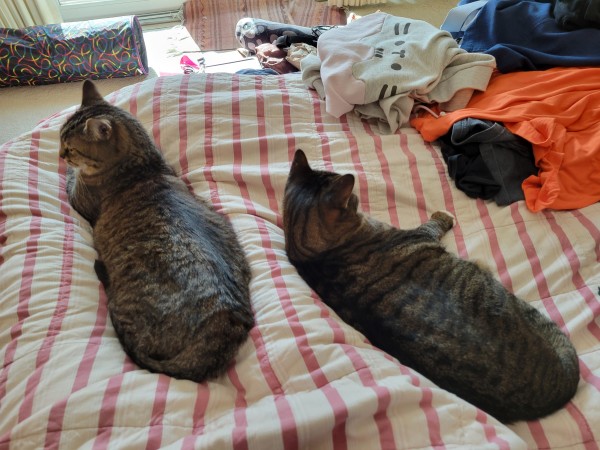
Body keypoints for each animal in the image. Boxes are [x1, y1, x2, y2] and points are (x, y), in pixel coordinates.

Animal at [61, 81, 255, 384]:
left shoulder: (79, 196)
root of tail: (227, 320)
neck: (144, 164)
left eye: (70, 148)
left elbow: (71, 178)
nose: (59, 154)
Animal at [284, 150, 580, 422]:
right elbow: (434, 222)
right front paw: (444, 214)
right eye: (353, 199)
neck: (316, 254)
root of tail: (556, 388)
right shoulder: (423, 233)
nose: (357, 200)